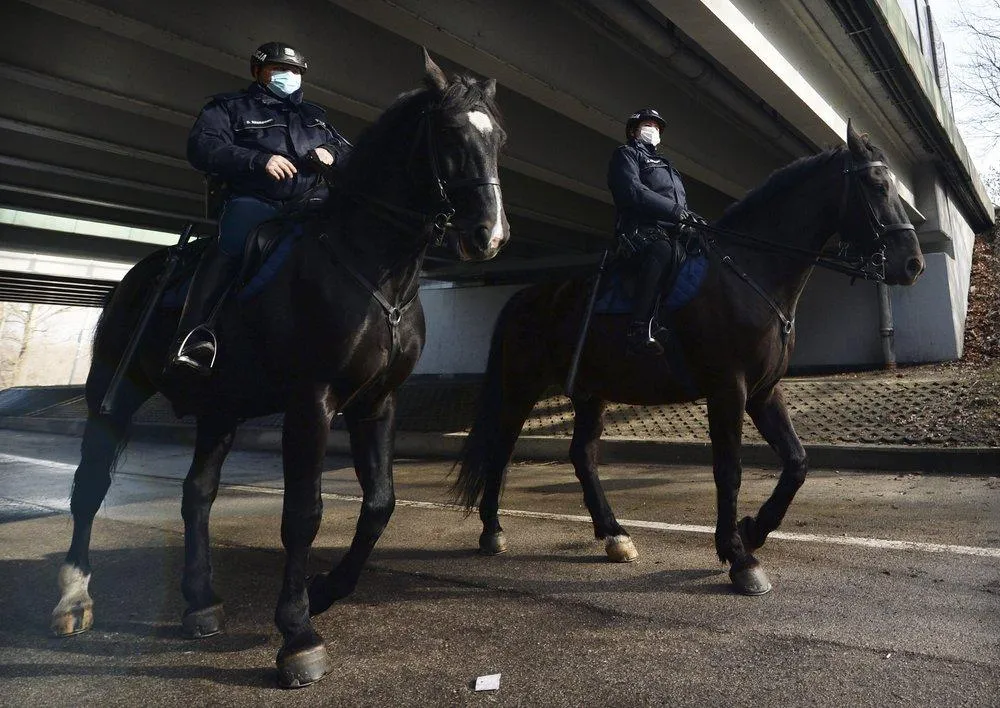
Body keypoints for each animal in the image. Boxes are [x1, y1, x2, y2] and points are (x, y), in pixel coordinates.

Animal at [51, 49, 508, 684]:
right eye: (448, 133)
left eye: (499, 139)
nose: (488, 236)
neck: (371, 267)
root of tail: (137, 276)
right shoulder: (311, 403)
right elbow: (303, 513)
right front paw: (297, 634)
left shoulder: (376, 403)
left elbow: (380, 504)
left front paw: (324, 591)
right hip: (113, 393)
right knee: (91, 486)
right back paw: (73, 597)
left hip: (219, 410)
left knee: (197, 493)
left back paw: (200, 602)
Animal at [454, 123, 920, 596]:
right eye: (875, 184)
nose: (913, 264)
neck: (749, 272)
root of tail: (526, 296)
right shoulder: (727, 389)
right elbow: (729, 471)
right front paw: (739, 558)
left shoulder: (764, 392)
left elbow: (797, 463)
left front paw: (753, 531)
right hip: (520, 387)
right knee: (501, 449)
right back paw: (493, 531)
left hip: (590, 393)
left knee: (581, 456)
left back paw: (615, 535)